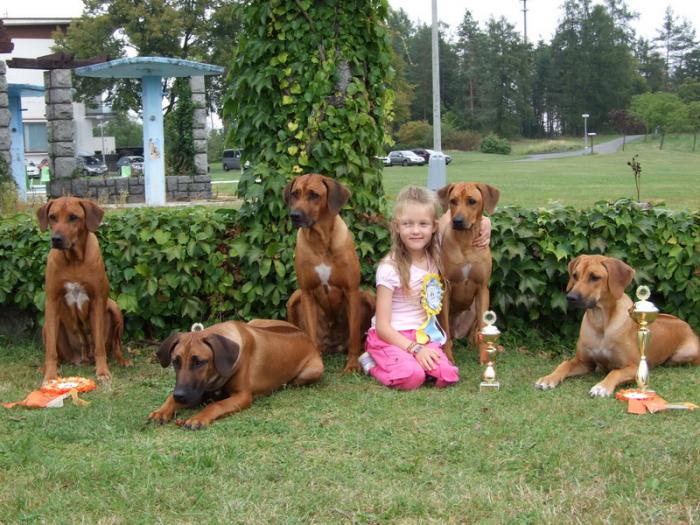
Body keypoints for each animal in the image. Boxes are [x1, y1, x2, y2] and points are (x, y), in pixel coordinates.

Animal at [37, 197, 130, 383]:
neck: (73, 260)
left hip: (114, 307)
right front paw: (50, 376)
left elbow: (100, 345)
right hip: (47, 326)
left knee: (115, 344)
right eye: (52, 217)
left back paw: (122, 360)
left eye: (73, 217)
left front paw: (102, 371)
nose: (56, 239)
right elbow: (50, 350)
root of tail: (82, 357)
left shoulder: (97, 300)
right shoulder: (52, 301)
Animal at [148, 319, 324, 429]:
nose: (180, 395)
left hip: (314, 370)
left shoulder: (242, 396)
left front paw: (198, 418)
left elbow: (216, 404)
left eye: (198, 362)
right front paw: (160, 412)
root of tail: (306, 335)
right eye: (175, 361)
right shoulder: (198, 391)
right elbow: (171, 398)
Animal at [284, 174, 374, 372]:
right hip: (294, 297)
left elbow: (354, 335)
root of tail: (334, 346)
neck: (321, 241)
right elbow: (310, 333)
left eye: (314, 195)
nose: (294, 216)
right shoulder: (307, 292)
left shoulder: (351, 290)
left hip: (367, 296)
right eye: (294, 194)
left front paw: (352, 364)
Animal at [437, 182, 500, 364]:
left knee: (477, 329)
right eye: (453, 201)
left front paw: (485, 357)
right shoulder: (446, 288)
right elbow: (445, 332)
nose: (457, 221)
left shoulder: (483, 289)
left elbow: (483, 326)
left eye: (472, 201)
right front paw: (448, 357)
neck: (465, 241)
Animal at [535, 255, 699, 397]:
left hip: (686, 353)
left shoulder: (634, 366)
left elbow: (615, 372)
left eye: (595, 277)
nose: (571, 298)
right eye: (575, 275)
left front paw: (602, 387)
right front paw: (548, 378)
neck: (600, 322)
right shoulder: (584, 362)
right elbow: (564, 364)